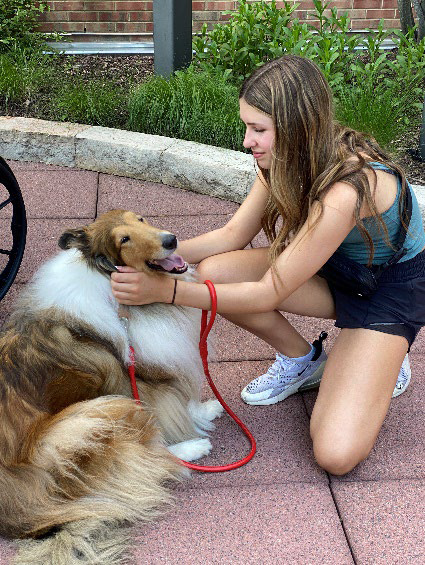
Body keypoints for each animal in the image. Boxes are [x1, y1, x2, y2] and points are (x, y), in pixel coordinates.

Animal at [0, 209, 224, 560]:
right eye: (124, 240)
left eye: (141, 219)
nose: (171, 240)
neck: (109, 283)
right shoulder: (144, 381)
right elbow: (169, 413)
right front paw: (195, 424)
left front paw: (207, 408)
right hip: (88, 419)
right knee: (147, 459)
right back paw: (193, 449)